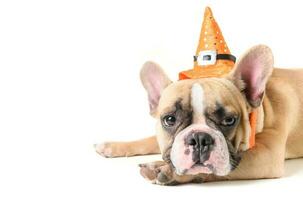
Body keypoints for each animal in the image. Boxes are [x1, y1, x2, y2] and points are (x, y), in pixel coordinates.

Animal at [95, 45, 303, 184]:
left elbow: (216, 169)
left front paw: (164, 169)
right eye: (169, 120)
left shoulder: (267, 155)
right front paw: (112, 146)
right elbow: (147, 141)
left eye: (229, 120)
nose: (199, 138)